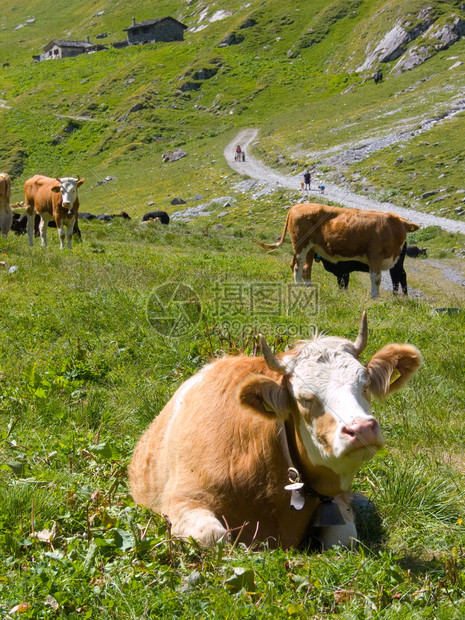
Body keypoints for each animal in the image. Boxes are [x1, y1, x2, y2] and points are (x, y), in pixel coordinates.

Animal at [130, 312, 420, 548]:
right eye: (305, 398)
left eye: (365, 384)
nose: (362, 428)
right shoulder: (181, 499)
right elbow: (212, 537)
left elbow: (343, 538)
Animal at [256, 203, 418, 298]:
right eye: (396, 229)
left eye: (404, 229)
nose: (402, 239)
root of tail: (299, 206)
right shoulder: (375, 256)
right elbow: (376, 279)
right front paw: (375, 298)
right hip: (301, 245)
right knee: (298, 266)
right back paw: (299, 286)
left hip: (310, 248)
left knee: (306, 268)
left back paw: (308, 287)